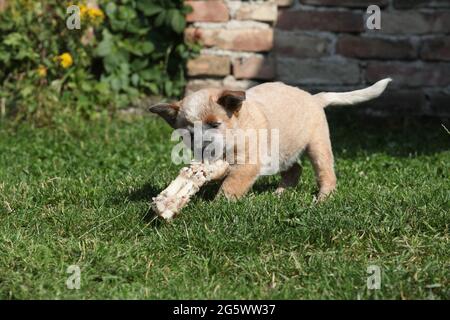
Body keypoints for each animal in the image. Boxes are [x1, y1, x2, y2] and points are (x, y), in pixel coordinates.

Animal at [150, 78, 390, 200]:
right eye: (190, 135)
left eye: (215, 125)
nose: (206, 148)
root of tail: (314, 98)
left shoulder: (248, 165)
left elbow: (231, 186)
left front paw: (218, 206)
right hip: (281, 152)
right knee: (295, 169)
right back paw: (281, 193)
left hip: (317, 145)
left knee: (326, 173)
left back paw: (323, 198)